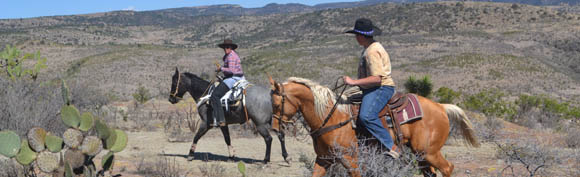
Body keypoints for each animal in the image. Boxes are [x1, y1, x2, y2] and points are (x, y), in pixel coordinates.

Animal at [270, 76, 478, 177]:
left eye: (276, 104)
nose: (274, 128)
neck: (332, 117)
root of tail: (441, 106)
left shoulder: (351, 161)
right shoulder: (324, 159)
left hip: (428, 152)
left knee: (448, 168)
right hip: (421, 155)